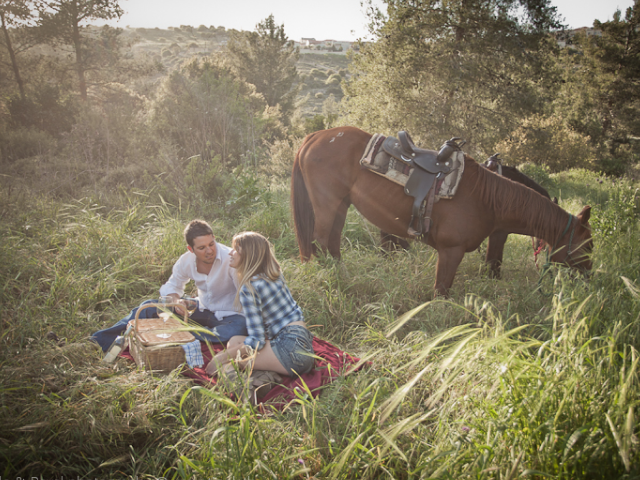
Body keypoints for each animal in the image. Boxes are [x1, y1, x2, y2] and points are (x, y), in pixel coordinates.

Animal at [292, 125, 592, 296]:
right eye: (587, 245)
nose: (589, 276)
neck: (489, 200)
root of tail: (315, 136)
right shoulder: (452, 251)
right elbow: (443, 292)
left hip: (341, 205)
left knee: (332, 242)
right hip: (327, 204)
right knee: (321, 241)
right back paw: (332, 280)